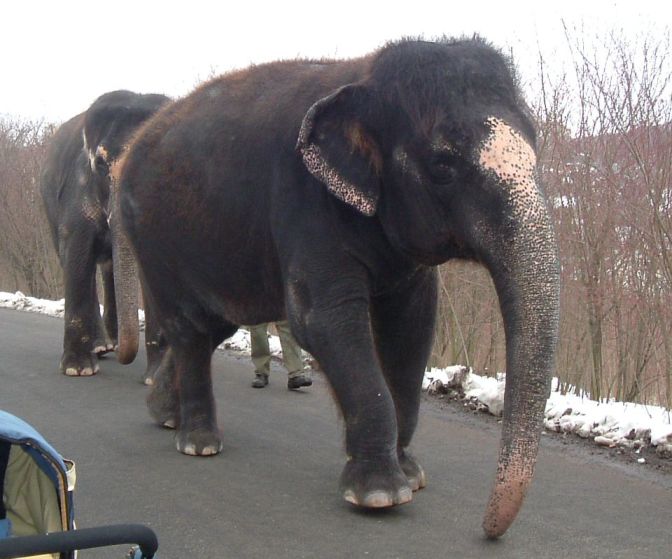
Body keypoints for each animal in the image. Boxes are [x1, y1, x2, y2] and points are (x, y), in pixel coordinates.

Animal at [39, 89, 169, 382]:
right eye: (100, 164)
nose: (125, 357)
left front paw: (156, 377)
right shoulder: (77, 192)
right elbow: (77, 253)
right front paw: (77, 370)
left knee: (109, 268)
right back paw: (100, 348)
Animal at [113, 38, 560, 540]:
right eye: (443, 164)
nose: (488, 531)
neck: (363, 76)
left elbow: (412, 326)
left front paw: (411, 475)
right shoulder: (304, 201)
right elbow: (324, 320)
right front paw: (380, 495)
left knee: (214, 326)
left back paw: (163, 415)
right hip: (155, 239)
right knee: (190, 327)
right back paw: (199, 443)